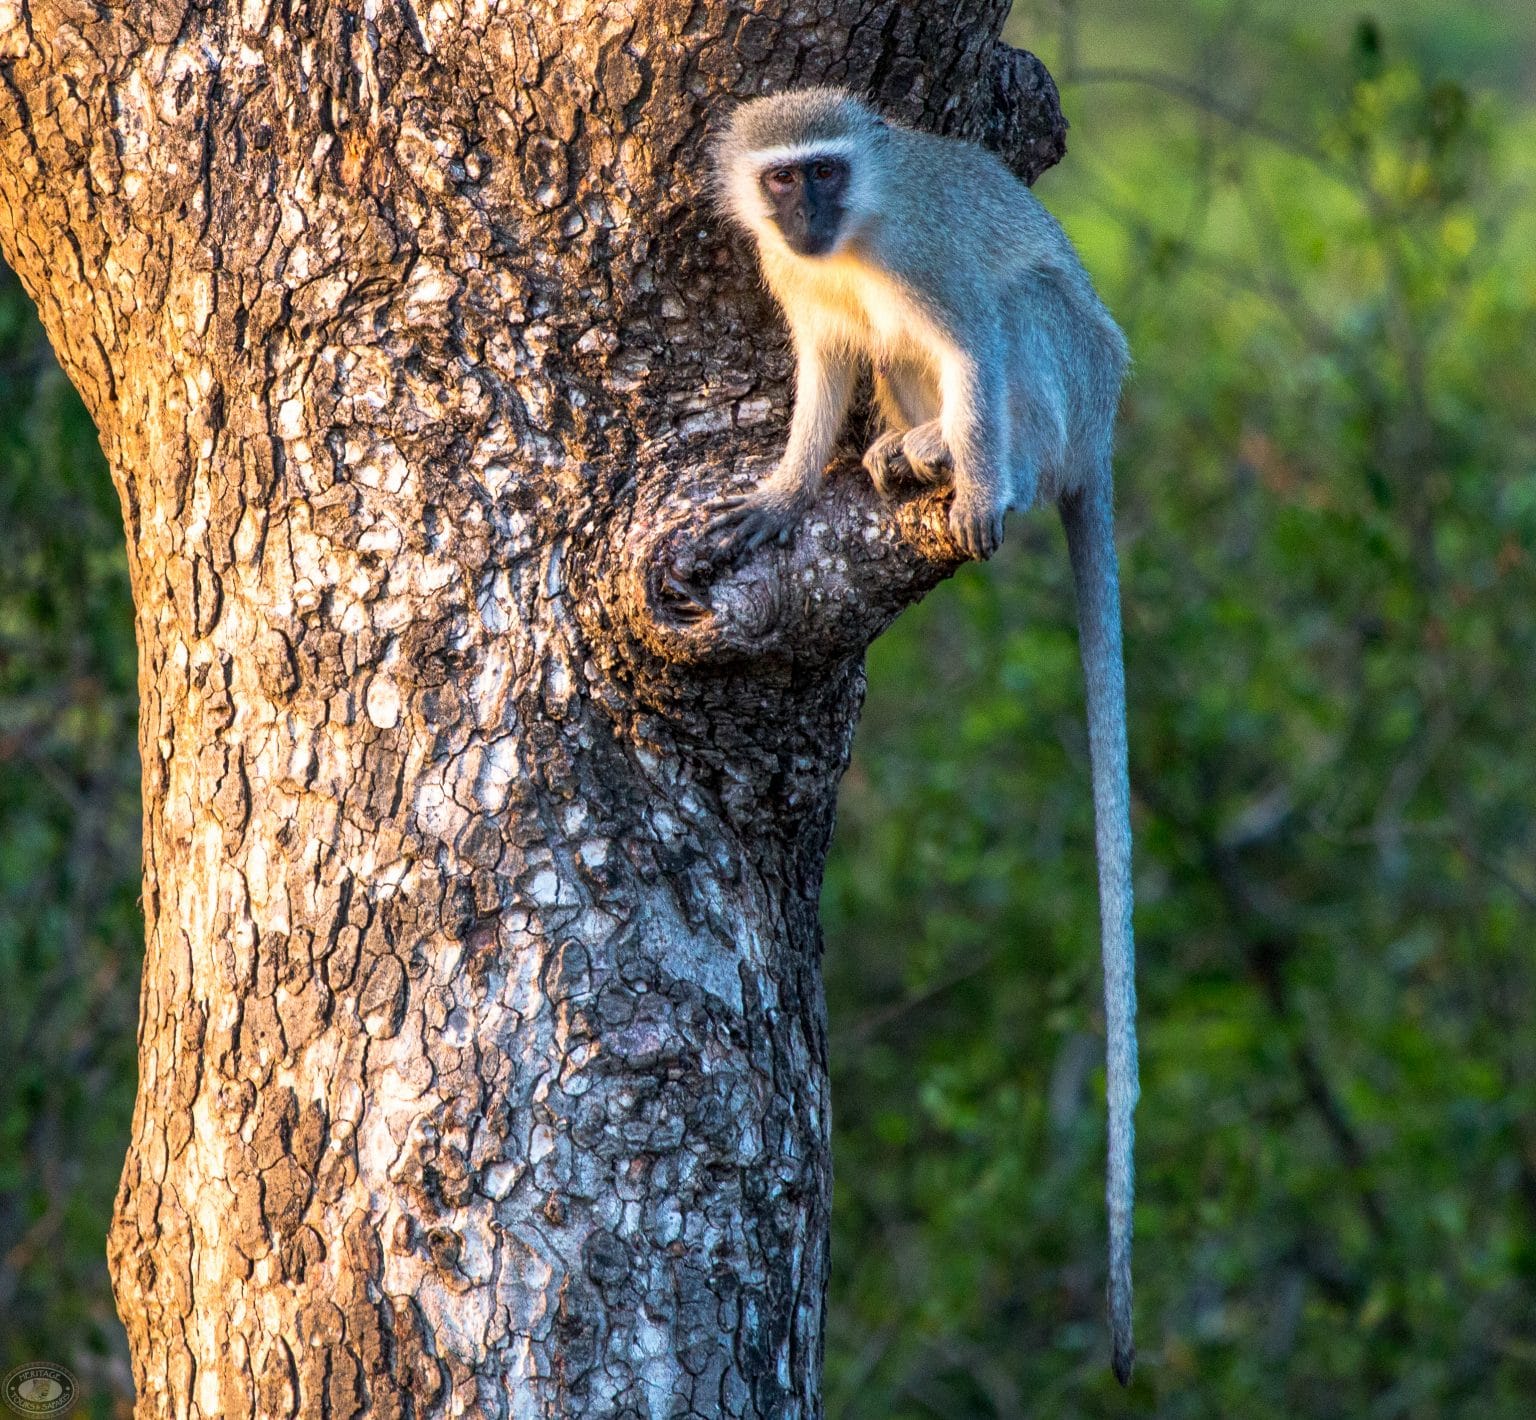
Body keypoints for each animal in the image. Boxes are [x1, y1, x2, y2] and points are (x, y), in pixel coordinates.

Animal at [706, 87, 1139, 1385]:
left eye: (826, 173)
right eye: (781, 180)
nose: (803, 214)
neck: (850, 239)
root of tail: (1101, 433)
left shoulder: (932, 262)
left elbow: (976, 339)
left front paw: (979, 483)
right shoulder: (794, 280)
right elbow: (824, 363)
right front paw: (784, 492)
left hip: (1070, 380)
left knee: (1015, 317)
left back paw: (965, 462)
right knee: (891, 358)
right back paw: (906, 452)